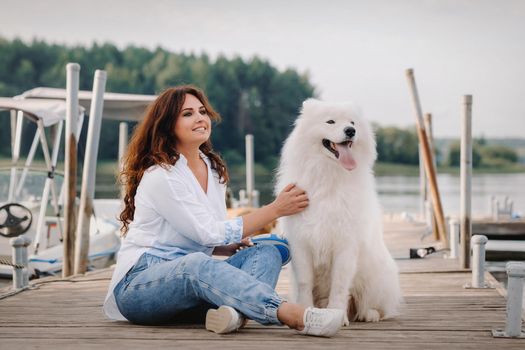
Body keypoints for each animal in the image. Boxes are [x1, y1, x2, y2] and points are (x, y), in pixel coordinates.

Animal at [276, 98, 400, 326]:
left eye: (352, 122)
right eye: (330, 121)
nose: (350, 131)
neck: (329, 175)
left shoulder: (346, 244)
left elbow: (340, 285)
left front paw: (337, 313)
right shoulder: (301, 243)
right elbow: (305, 282)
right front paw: (306, 309)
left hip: (377, 276)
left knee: (373, 305)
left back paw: (368, 314)